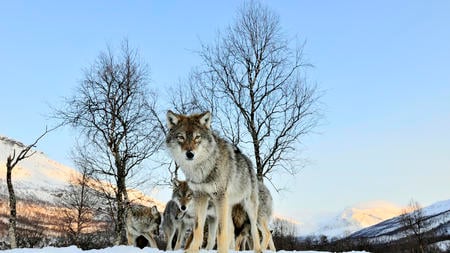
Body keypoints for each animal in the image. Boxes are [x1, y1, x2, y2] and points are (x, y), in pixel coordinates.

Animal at [167, 110, 262, 253]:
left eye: (197, 137)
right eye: (181, 137)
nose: (190, 154)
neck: (202, 169)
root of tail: (247, 160)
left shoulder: (219, 197)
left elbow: (221, 232)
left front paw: (222, 251)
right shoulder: (200, 196)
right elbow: (198, 229)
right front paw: (192, 250)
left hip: (247, 206)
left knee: (254, 229)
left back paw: (258, 249)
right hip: (227, 206)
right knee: (231, 229)